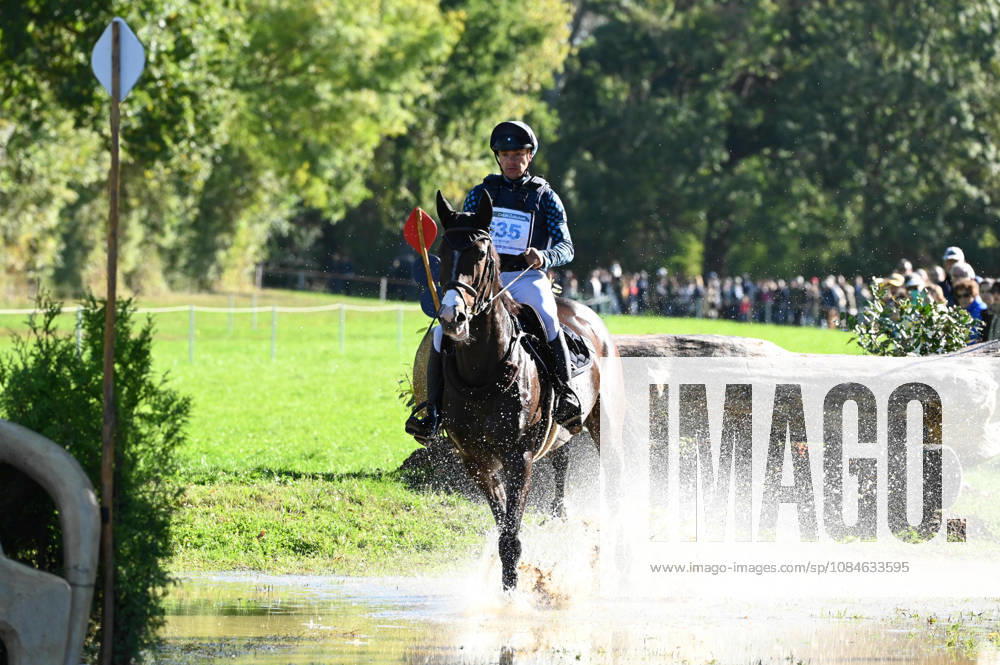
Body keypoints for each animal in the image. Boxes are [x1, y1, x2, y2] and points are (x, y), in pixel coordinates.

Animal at [427, 189, 620, 591]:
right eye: (443, 250)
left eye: (480, 254)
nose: (452, 317)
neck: (482, 371)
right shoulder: (477, 461)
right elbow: (504, 526)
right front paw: (508, 587)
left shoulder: (520, 457)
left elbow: (511, 536)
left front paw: (513, 595)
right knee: (562, 460)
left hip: (604, 421)